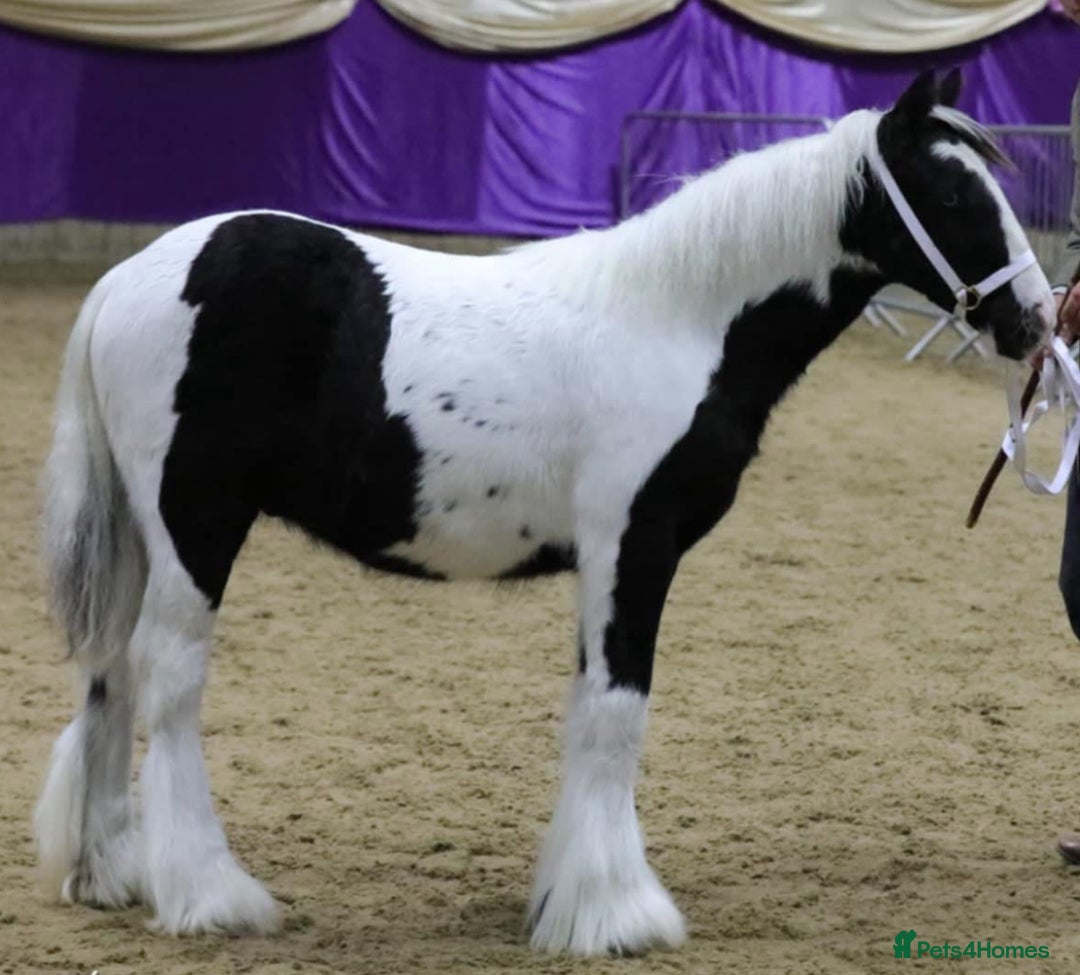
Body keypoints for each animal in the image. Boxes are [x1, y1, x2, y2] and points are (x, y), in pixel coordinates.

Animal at [34, 69, 1054, 956]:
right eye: (954, 196)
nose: (1038, 322)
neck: (680, 319)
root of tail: (126, 281)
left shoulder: (610, 561)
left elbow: (589, 711)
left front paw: (567, 896)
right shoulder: (633, 547)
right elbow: (616, 713)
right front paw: (616, 914)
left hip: (143, 534)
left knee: (108, 672)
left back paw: (110, 871)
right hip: (196, 521)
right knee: (167, 675)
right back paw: (208, 893)